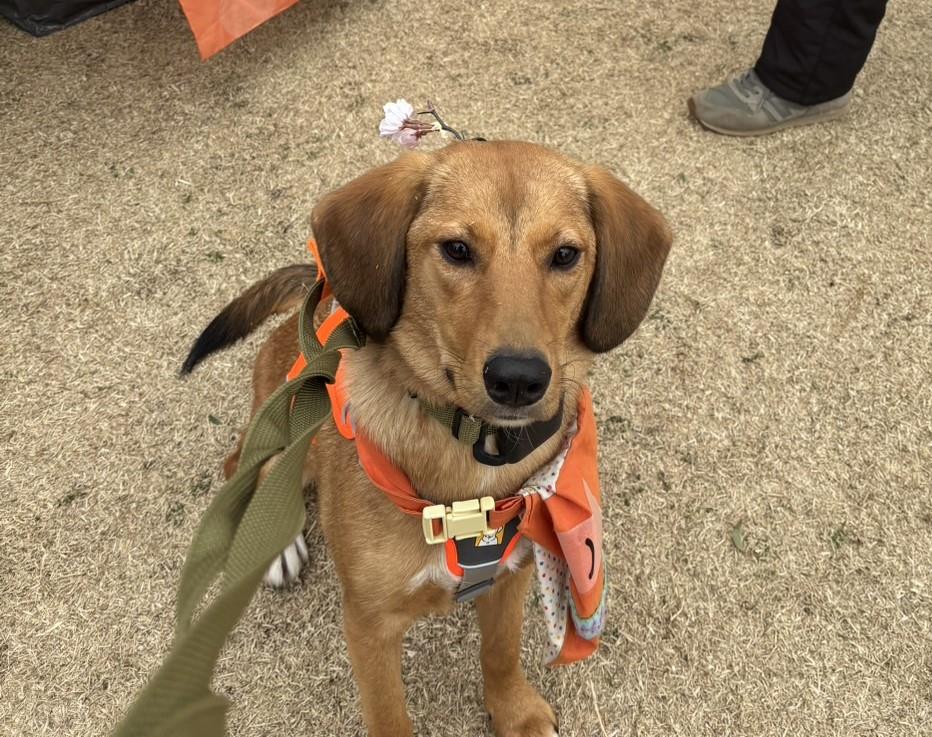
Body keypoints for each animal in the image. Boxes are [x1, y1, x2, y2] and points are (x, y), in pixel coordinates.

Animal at [182, 140, 671, 737]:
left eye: (564, 255)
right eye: (457, 249)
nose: (518, 379)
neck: (472, 466)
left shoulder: (510, 576)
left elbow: (500, 652)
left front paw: (513, 710)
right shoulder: (370, 624)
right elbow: (389, 715)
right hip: (288, 428)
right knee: (247, 465)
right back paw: (278, 545)